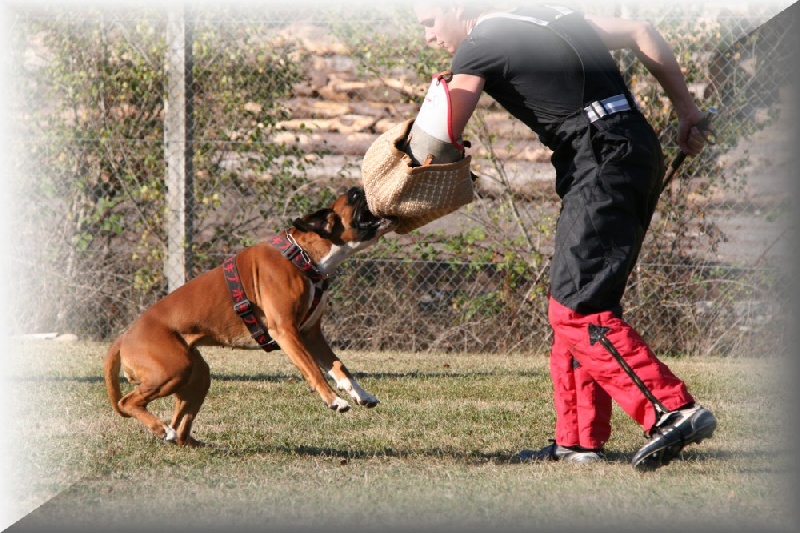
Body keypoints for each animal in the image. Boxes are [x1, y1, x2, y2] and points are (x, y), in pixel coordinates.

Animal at [103, 187, 396, 444]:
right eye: (355, 196)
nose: (361, 186)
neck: (302, 256)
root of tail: (123, 337)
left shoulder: (311, 335)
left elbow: (339, 367)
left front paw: (362, 394)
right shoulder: (287, 332)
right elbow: (314, 369)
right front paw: (334, 400)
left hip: (196, 375)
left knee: (180, 425)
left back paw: (187, 441)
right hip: (173, 368)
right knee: (128, 402)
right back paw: (162, 429)